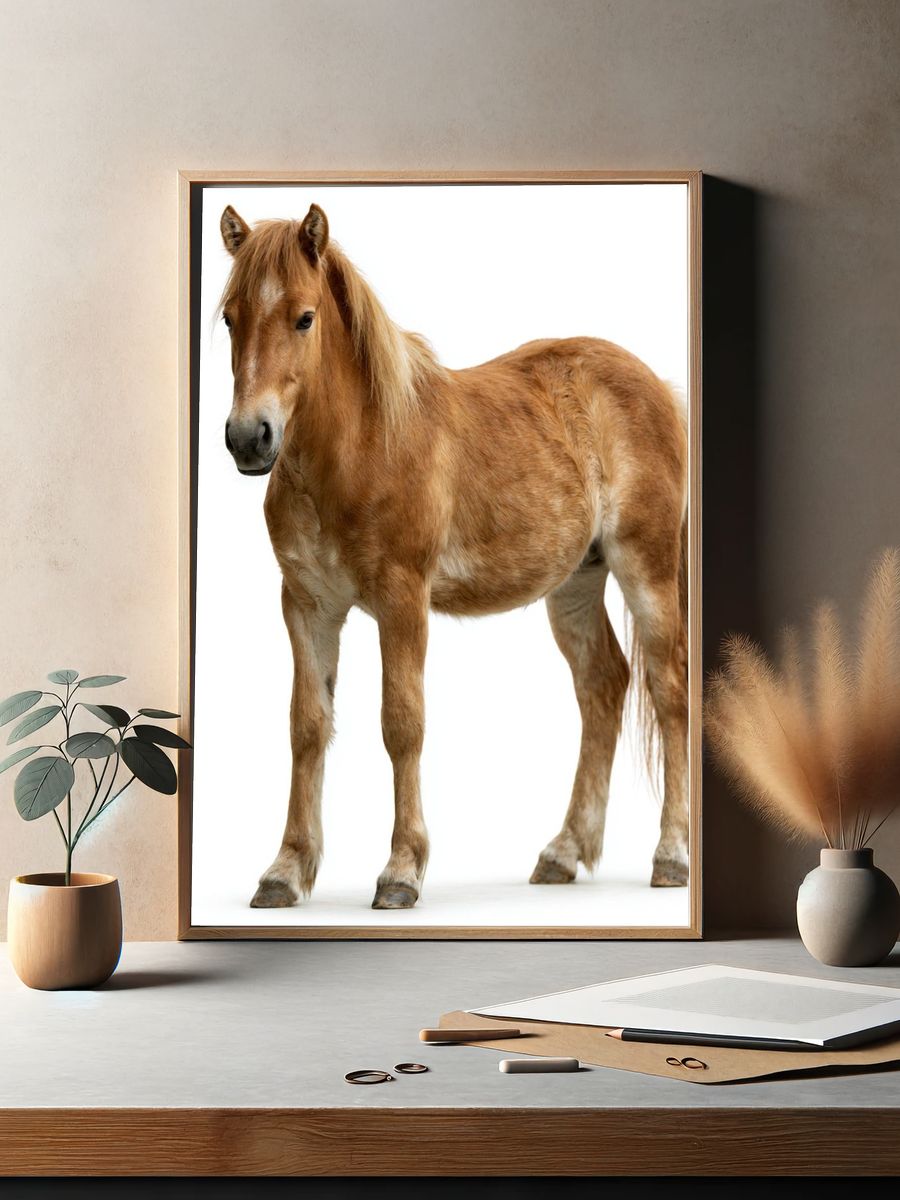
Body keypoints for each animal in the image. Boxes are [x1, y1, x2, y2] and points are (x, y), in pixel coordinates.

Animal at [217, 201, 689, 911]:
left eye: (304, 317)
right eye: (228, 317)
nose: (250, 438)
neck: (362, 448)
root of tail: (656, 385)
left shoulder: (402, 599)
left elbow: (402, 724)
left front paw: (401, 872)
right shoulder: (306, 604)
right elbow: (307, 725)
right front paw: (286, 870)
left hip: (647, 570)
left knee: (670, 691)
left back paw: (671, 856)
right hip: (576, 582)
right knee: (603, 685)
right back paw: (563, 853)